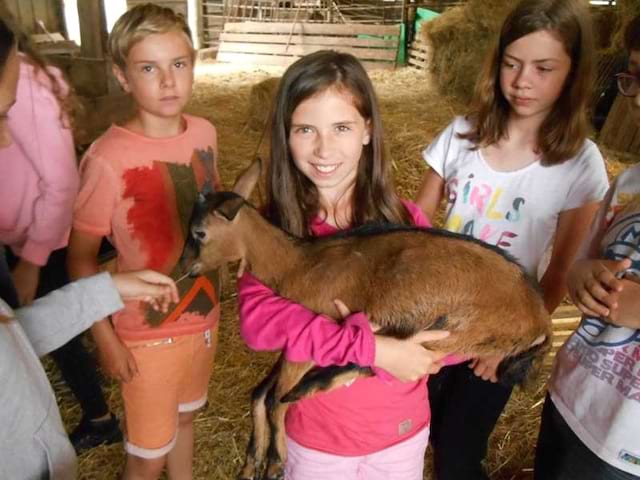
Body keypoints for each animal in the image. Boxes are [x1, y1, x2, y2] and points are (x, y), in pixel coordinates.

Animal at [180, 163, 552, 478]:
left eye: (199, 232)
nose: (185, 268)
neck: (299, 263)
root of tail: (540, 319)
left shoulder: (310, 333)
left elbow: (273, 399)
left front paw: (276, 461)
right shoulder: (294, 340)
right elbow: (260, 392)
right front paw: (252, 461)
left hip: (457, 329)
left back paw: (310, 387)